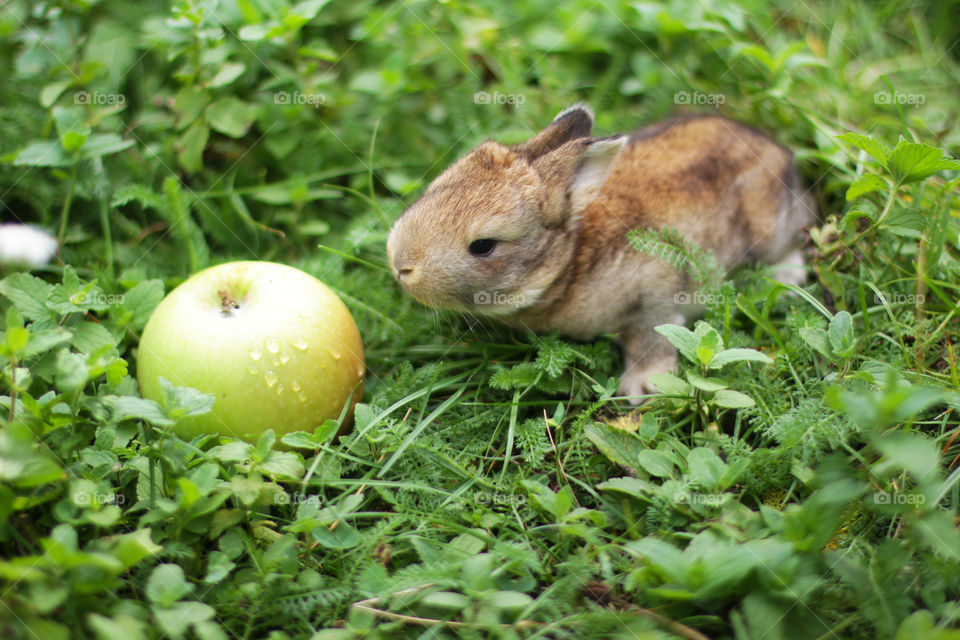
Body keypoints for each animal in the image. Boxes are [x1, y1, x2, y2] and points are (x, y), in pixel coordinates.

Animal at [386, 105, 812, 402]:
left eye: (484, 245)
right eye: (434, 190)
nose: (401, 265)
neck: (569, 261)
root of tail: (777, 151)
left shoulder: (654, 297)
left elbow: (651, 338)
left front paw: (642, 388)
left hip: (773, 228)